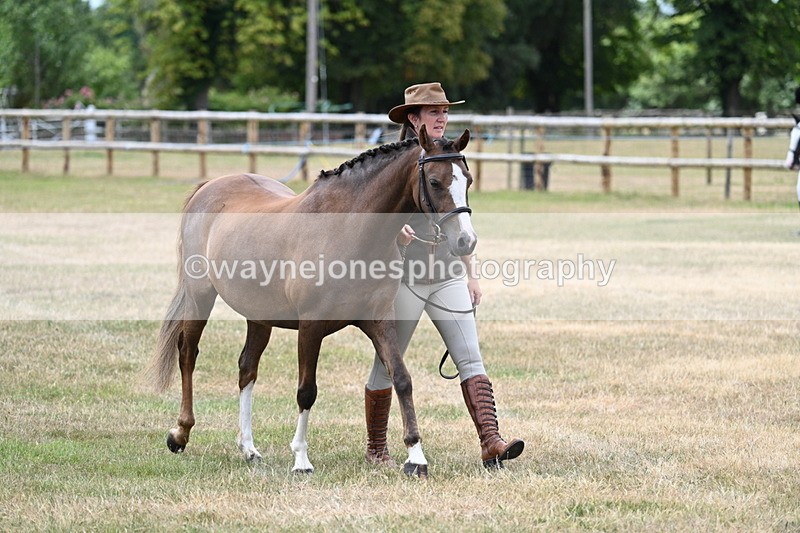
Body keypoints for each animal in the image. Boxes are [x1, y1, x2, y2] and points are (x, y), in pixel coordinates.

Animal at [149, 125, 476, 478]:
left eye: (468, 180)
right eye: (435, 181)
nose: (466, 241)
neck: (349, 230)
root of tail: (210, 186)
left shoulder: (379, 321)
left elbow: (402, 379)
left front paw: (416, 457)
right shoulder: (310, 327)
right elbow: (307, 391)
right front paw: (301, 460)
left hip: (258, 316)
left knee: (247, 369)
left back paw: (249, 448)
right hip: (200, 297)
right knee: (188, 355)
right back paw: (180, 433)